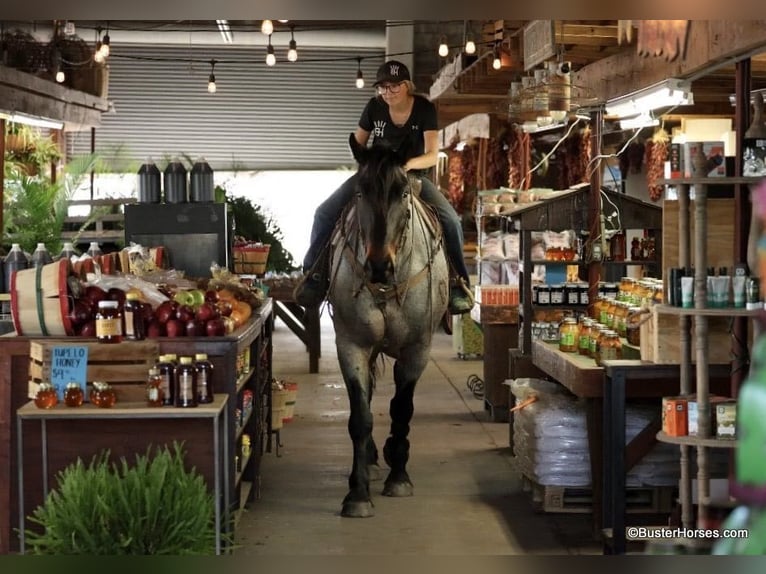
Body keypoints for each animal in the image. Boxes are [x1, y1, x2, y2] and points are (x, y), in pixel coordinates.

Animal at [328, 133, 452, 520]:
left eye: (402, 193)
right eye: (359, 191)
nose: (379, 266)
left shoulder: (417, 350)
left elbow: (402, 409)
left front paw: (399, 476)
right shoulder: (350, 345)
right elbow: (360, 415)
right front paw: (357, 494)